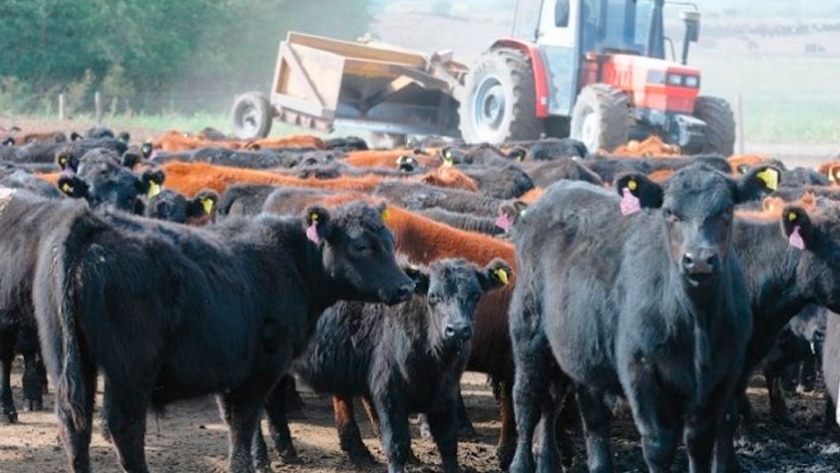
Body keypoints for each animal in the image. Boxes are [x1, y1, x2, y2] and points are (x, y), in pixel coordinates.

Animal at [32, 199, 414, 473]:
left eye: (390, 240)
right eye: (361, 246)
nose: (406, 286)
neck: (291, 262)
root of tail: (93, 225)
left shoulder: (227, 369)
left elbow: (235, 423)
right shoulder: (261, 369)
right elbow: (244, 423)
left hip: (70, 360)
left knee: (74, 426)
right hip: (131, 370)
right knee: (123, 427)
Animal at [260, 258, 510, 472]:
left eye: (475, 296)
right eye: (433, 296)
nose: (457, 330)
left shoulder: (445, 395)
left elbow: (449, 446)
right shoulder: (388, 393)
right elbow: (397, 446)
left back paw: (287, 451)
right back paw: (262, 461)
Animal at [507, 164, 775, 472]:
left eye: (727, 210)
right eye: (669, 212)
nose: (698, 260)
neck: (697, 321)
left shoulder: (722, 377)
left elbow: (700, 443)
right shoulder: (641, 370)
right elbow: (659, 445)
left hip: (579, 346)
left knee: (575, 409)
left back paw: (562, 463)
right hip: (528, 333)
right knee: (528, 398)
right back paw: (520, 464)